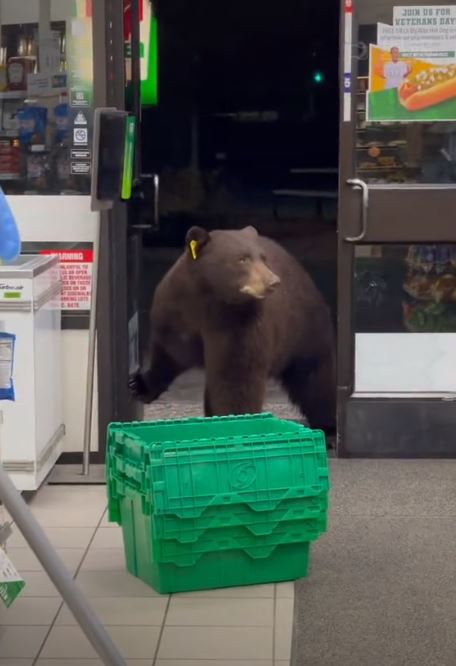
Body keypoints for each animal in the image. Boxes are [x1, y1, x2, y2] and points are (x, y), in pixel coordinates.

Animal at [130, 225, 336, 431]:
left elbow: (235, 377)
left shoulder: (238, 324)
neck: (209, 298)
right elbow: (170, 354)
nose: (273, 281)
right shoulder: (176, 315)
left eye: (263, 258)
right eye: (242, 259)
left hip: (303, 332)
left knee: (316, 381)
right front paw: (138, 385)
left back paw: (328, 424)